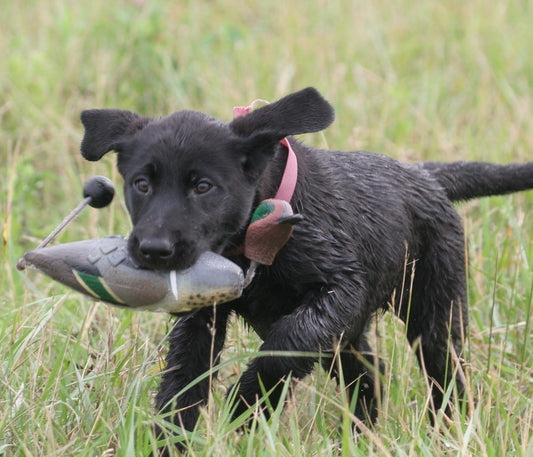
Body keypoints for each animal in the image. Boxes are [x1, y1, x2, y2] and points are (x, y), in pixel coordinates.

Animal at [79, 87, 532, 450]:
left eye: (203, 187)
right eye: (142, 184)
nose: (154, 250)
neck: (259, 228)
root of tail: (425, 176)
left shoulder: (340, 289)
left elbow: (283, 344)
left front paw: (247, 401)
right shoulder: (202, 317)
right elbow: (182, 381)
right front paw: (170, 441)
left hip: (432, 314)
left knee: (446, 375)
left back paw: (450, 433)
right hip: (347, 335)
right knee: (370, 371)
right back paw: (361, 436)